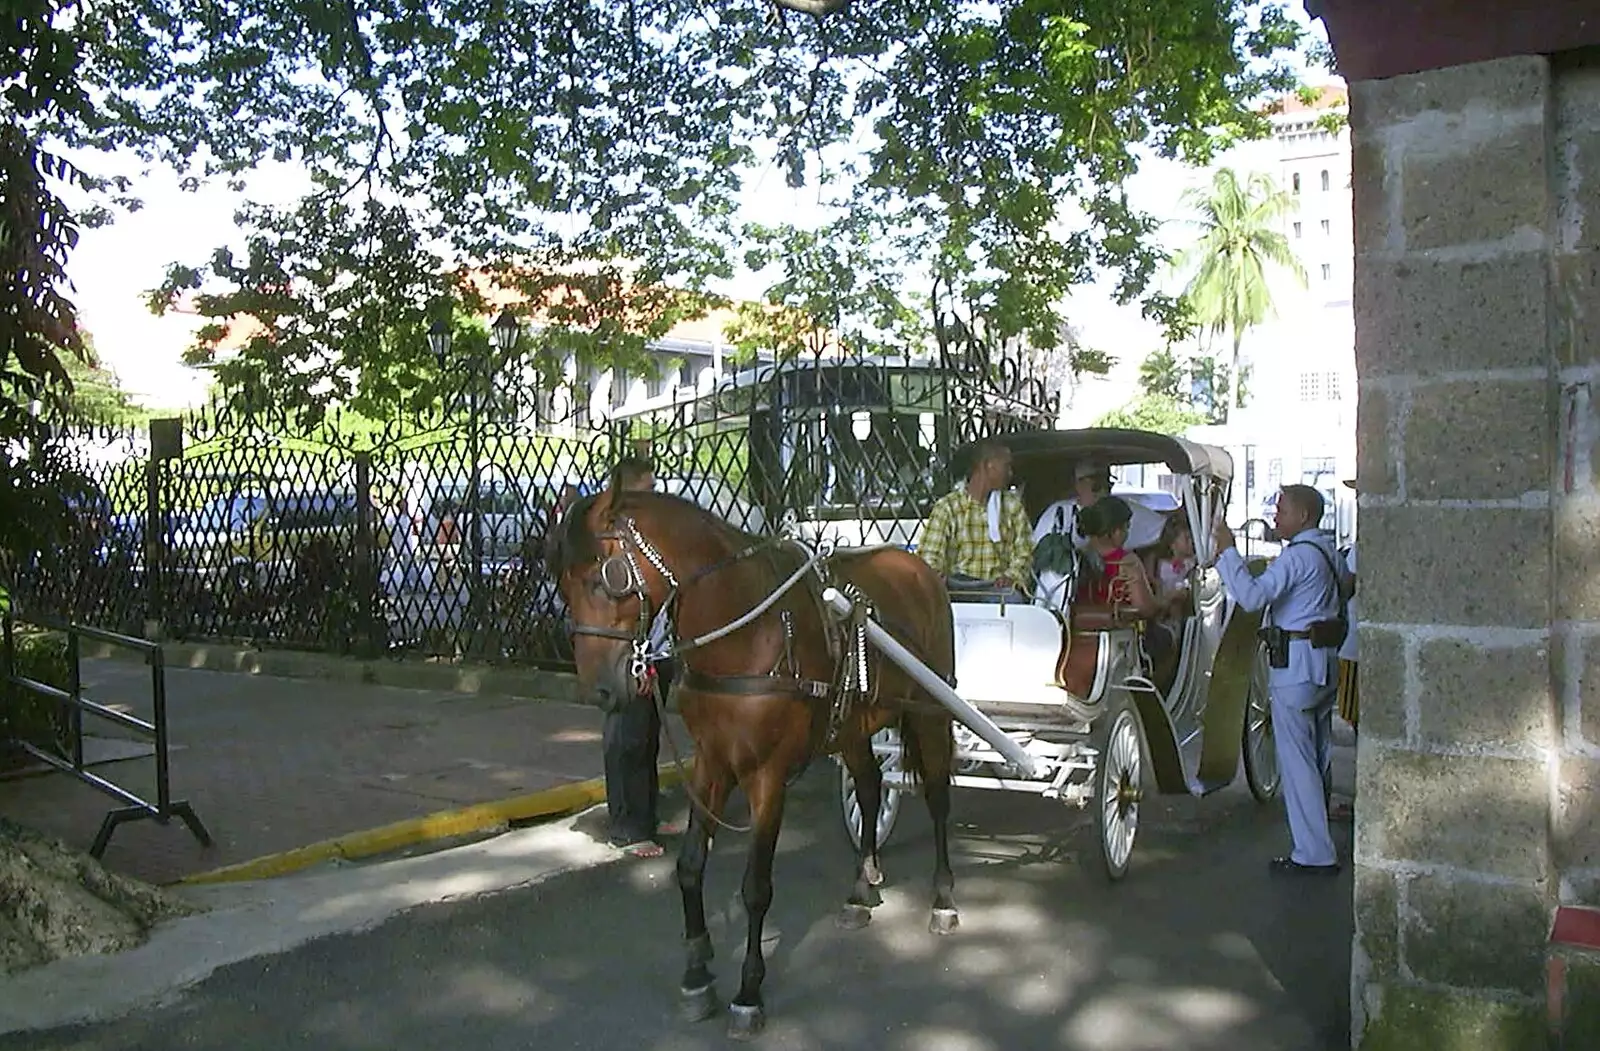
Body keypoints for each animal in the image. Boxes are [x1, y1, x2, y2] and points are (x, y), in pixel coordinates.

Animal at [550, 486, 953, 1036]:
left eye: (605, 577)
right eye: (562, 584)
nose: (600, 691)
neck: (745, 629)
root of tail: (919, 567)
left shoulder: (769, 776)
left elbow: (756, 887)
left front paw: (747, 993)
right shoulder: (712, 764)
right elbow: (690, 866)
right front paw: (697, 973)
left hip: (932, 711)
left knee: (937, 795)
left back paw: (943, 900)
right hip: (851, 725)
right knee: (870, 788)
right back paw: (859, 890)